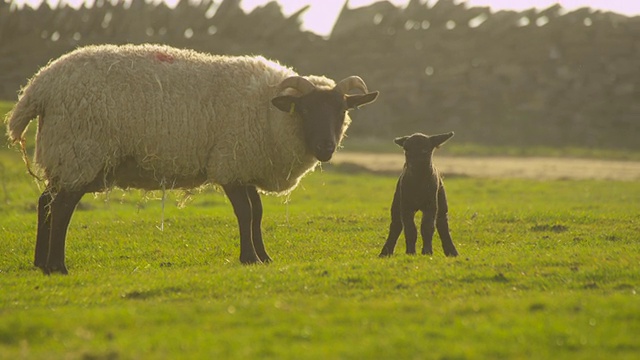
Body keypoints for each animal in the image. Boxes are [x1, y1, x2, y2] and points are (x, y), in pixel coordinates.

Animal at [6, 43, 380, 272]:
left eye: (342, 111)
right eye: (305, 110)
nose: (327, 148)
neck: (268, 112)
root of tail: (38, 87)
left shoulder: (243, 164)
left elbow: (257, 213)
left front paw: (264, 256)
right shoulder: (230, 162)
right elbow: (246, 213)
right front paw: (249, 258)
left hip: (67, 155)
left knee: (45, 202)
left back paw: (41, 263)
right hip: (79, 150)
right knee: (62, 207)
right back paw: (58, 266)